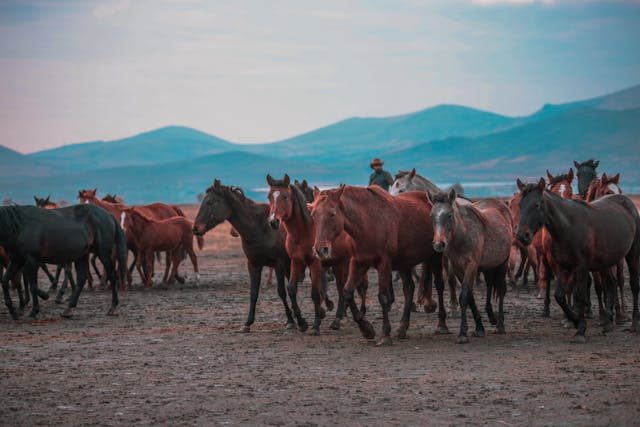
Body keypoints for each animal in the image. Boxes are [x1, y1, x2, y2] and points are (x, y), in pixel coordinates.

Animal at [312, 186, 444, 346]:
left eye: (332, 214)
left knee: (439, 286)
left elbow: (384, 297)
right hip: (403, 263)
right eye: (313, 215)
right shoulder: (358, 262)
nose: (320, 249)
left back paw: (442, 325)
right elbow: (347, 292)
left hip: (436, 256)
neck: (367, 223)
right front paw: (366, 329)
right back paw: (402, 328)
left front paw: (385, 334)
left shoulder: (384, 264)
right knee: (409, 289)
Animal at [428, 191, 512, 344]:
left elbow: (464, 297)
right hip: (489, 266)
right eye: (432, 216)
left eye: (449, 215)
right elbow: (470, 296)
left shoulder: (471, 267)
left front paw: (463, 333)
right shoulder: (458, 269)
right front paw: (479, 328)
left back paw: (500, 325)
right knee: (490, 285)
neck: (462, 236)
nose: (438, 244)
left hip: (503, 263)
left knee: (501, 289)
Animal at [516, 179, 640, 342]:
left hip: (632, 254)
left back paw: (634, 324)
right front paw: (574, 320)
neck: (568, 227)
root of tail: (627, 201)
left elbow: (579, 296)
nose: (522, 236)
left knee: (634, 285)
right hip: (605, 262)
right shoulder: (562, 267)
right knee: (610, 285)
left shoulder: (581, 268)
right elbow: (560, 296)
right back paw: (607, 323)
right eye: (520, 205)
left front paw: (580, 329)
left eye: (537, 205)